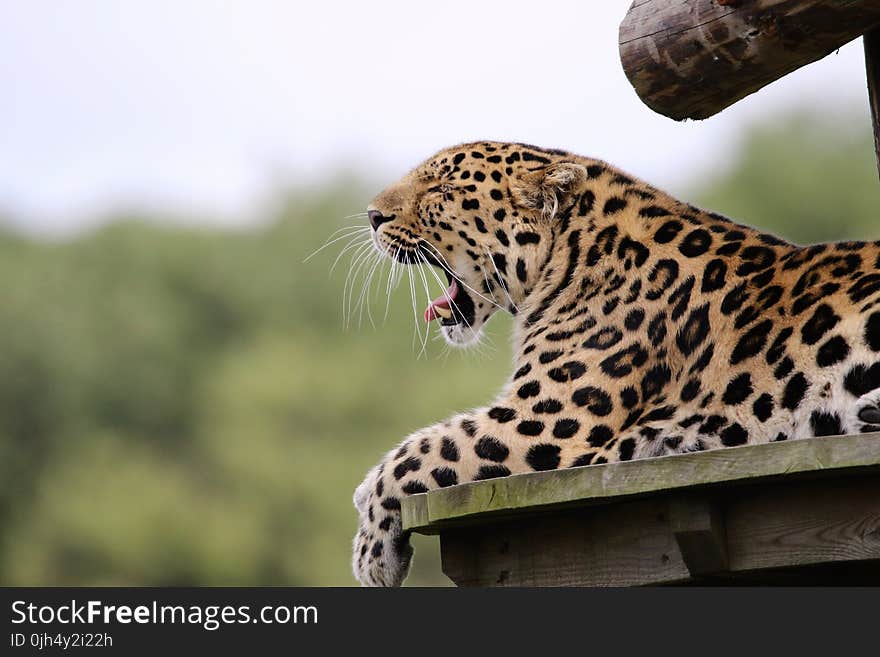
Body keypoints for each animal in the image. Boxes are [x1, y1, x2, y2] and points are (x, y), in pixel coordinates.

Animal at [348, 138, 880, 584]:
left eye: (442, 188)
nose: (372, 215)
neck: (570, 256)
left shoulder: (545, 421)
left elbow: (421, 449)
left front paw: (370, 550)